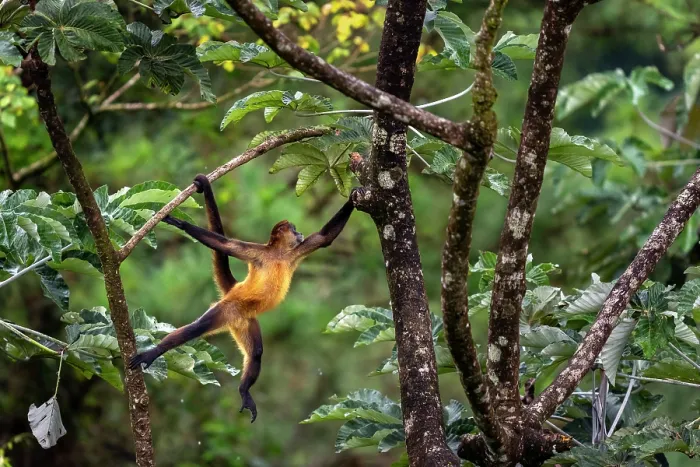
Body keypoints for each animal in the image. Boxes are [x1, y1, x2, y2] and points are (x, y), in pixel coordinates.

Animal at [129, 174, 357, 422]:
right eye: (294, 229)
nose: (299, 233)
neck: (278, 255)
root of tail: (234, 292)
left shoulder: (294, 254)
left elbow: (325, 238)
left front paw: (354, 197)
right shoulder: (258, 253)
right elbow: (225, 244)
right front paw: (180, 224)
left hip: (245, 322)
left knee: (256, 354)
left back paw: (244, 390)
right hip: (225, 309)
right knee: (197, 328)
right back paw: (154, 352)